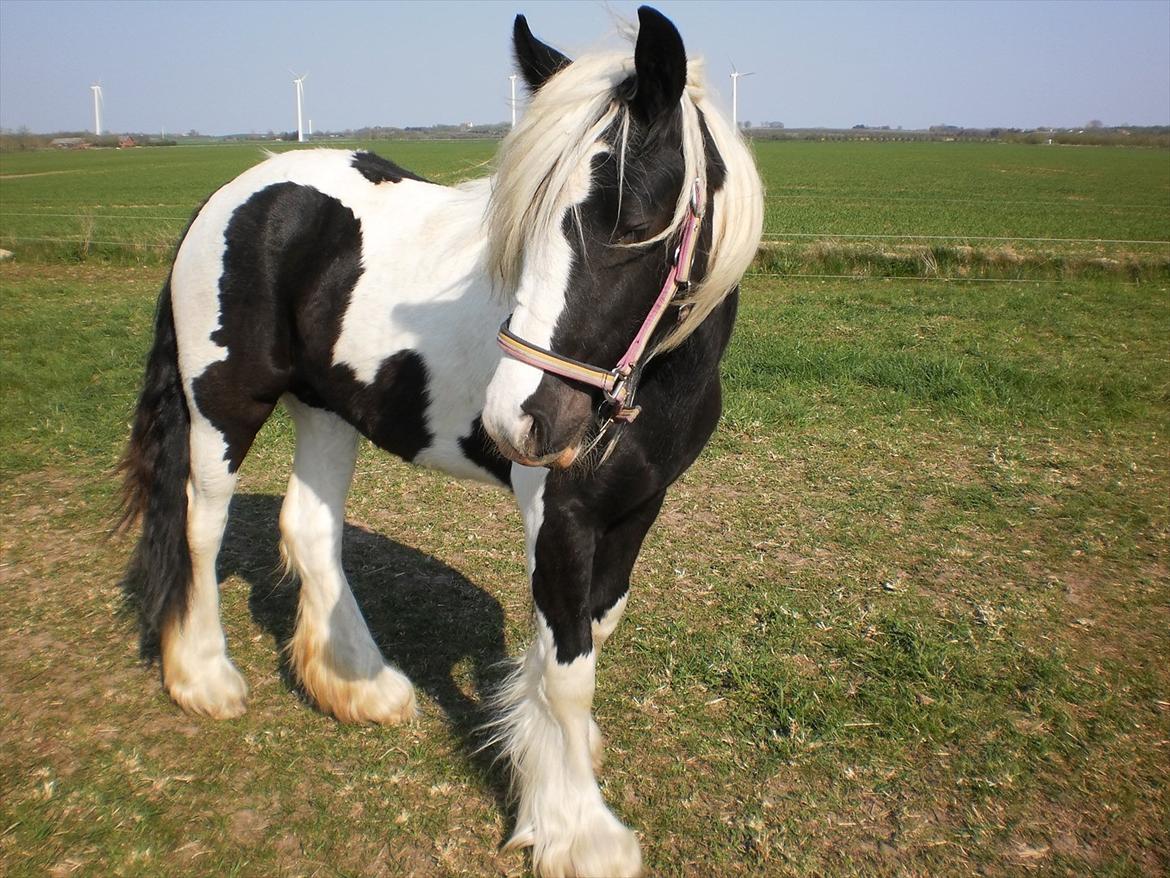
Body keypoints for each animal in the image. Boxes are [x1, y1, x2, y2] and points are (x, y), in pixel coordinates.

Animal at [118, 8, 762, 878]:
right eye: (523, 224)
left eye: (632, 224)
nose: (515, 423)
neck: (656, 381)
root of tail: (237, 195)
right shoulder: (561, 515)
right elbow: (568, 669)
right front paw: (578, 831)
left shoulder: (639, 505)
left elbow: (591, 632)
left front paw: (549, 759)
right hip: (223, 404)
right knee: (200, 526)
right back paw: (205, 678)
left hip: (327, 409)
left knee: (309, 528)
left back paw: (360, 686)